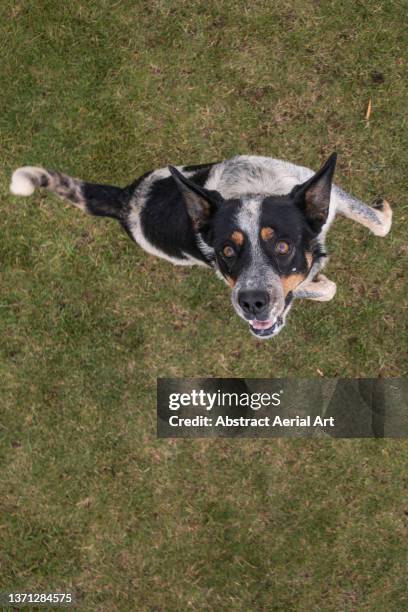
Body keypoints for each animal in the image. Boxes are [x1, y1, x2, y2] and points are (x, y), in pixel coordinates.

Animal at [10, 154, 392, 340]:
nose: (251, 303)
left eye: (282, 246)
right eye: (226, 251)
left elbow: (380, 224)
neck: (252, 191)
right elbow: (327, 288)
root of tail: (126, 199)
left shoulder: (324, 194)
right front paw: (318, 282)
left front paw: (382, 211)